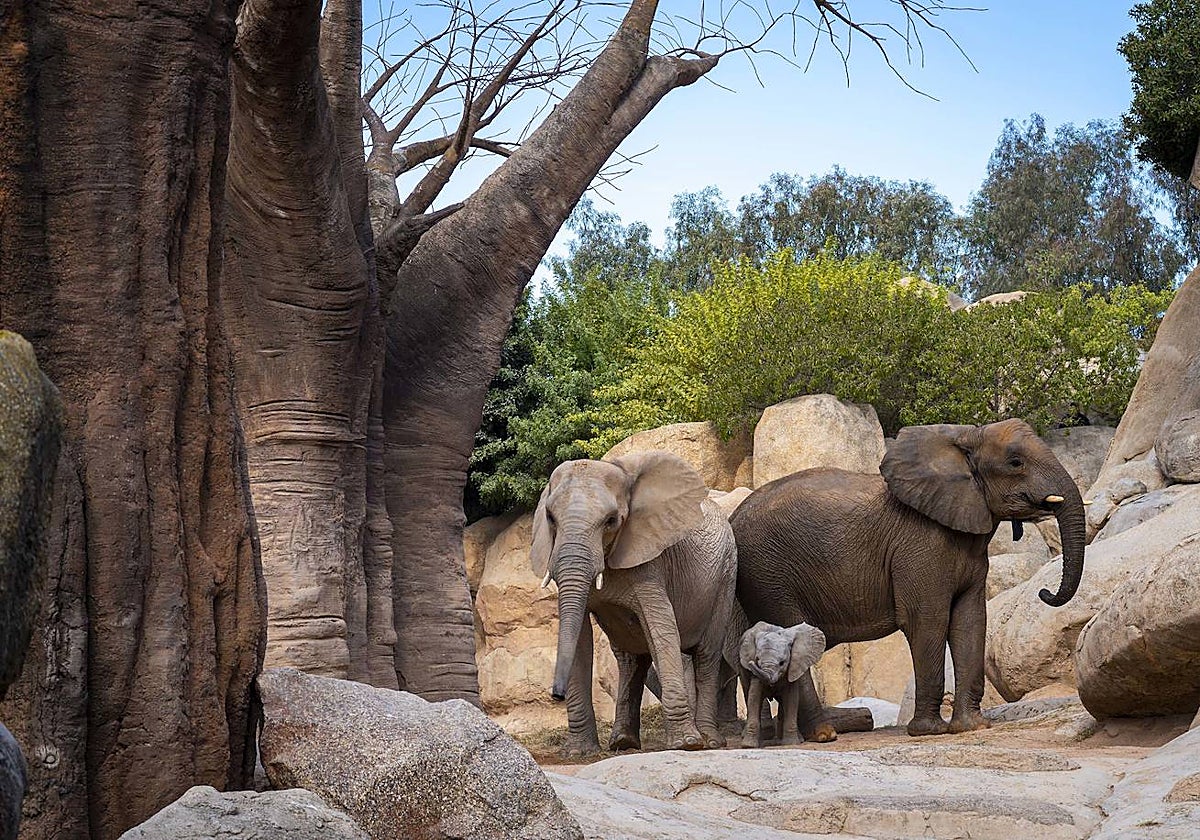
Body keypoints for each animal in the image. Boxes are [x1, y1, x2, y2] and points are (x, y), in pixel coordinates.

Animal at [531, 450, 738, 755]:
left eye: (611, 520)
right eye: (550, 517)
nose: (555, 695)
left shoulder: (651, 562)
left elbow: (662, 629)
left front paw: (686, 744)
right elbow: (579, 637)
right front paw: (579, 752)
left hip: (725, 576)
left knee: (707, 655)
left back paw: (710, 741)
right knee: (630, 661)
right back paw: (623, 742)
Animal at [732, 419, 1086, 739]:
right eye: (1015, 463)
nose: (1045, 593)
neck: (964, 437)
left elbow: (969, 621)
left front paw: (971, 727)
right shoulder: (920, 547)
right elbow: (927, 620)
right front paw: (929, 732)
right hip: (768, 574)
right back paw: (823, 734)